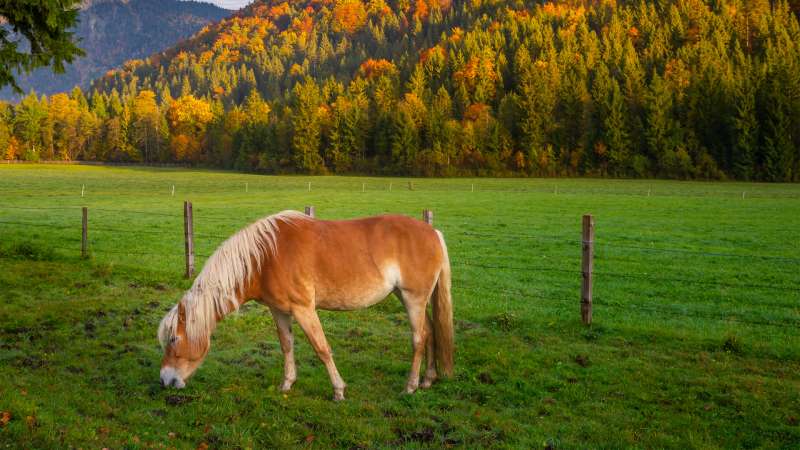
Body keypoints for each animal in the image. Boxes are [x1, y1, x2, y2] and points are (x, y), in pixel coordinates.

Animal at [159, 211, 454, 400]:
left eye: (174, 339)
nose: (164, 380)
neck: (264, 257)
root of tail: (433, 232)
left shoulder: (303, 309)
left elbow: (321, 348)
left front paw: (338, 390)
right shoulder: (279, 310)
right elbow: (287, 345)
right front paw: (286, 384)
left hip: (413, 299)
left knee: (419, 338)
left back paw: (411, 386)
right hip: (408, 298)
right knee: (430, 332)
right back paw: (428, 379)